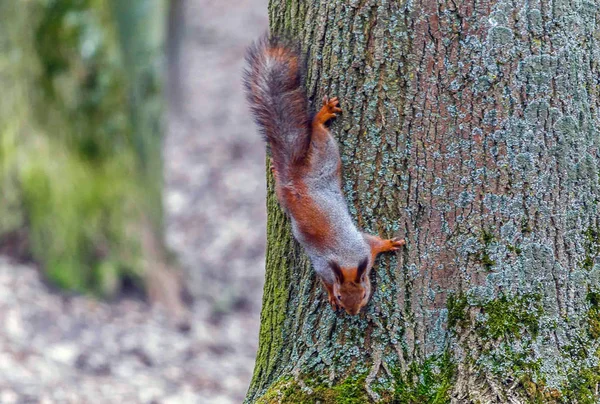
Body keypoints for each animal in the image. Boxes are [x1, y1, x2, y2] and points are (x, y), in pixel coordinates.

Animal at [243, 37, 404, 316]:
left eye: (364, 294)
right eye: (341, 295)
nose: (352, 312)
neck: (344, 259)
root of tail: (294, 177)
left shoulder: (362, 248)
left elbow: (375, 244)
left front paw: (388, 244)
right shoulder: (328, 264)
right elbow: (329, 277)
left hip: (313, 164)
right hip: (324, 155)